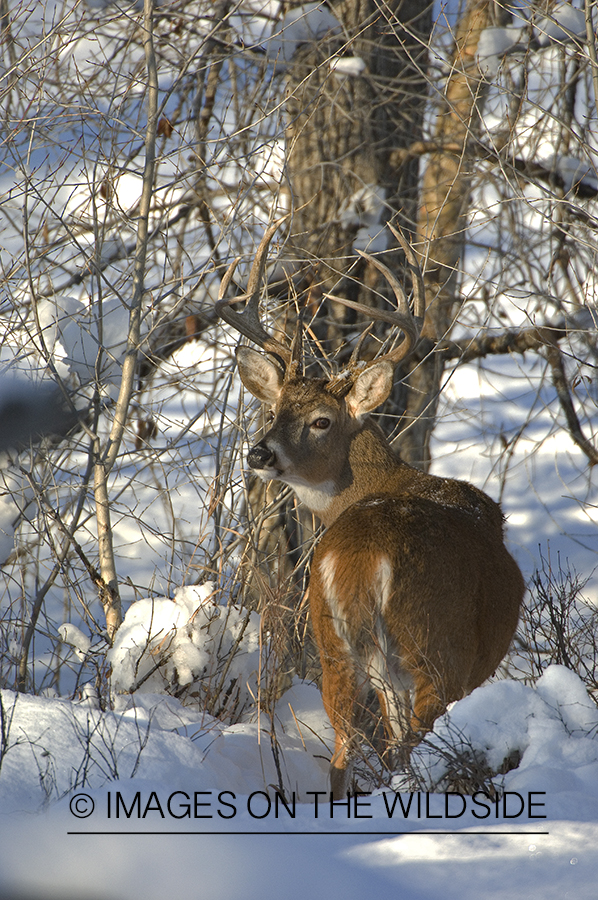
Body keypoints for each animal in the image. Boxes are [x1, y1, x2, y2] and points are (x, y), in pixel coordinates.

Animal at [218, 221, 528, 800]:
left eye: (319, 420)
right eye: (274, 411)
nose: (259, 454)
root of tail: (362, 558)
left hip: (333, 645)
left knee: (345, 750)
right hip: (436, 647)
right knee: (411, 750)